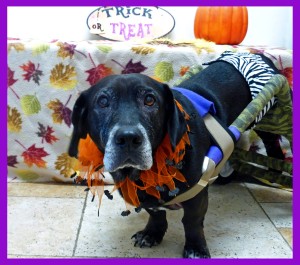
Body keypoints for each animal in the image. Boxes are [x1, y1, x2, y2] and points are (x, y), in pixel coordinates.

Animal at [67, 54, 284, 258]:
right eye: (103, 102)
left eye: (150, 100)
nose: (128, 138)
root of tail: (256, 55)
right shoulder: (147, 198)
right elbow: (156, 214)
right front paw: (152, 233)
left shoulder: (197, 195)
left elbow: (192, 222)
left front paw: (196, 248)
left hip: (268, 119)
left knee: (273, 144)